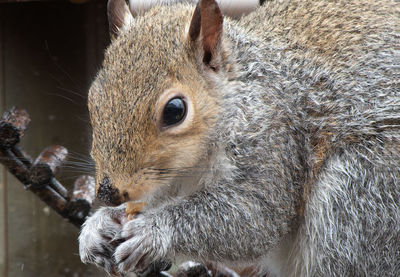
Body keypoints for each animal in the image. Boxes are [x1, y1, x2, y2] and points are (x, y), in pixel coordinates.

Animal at [78, 0, 400, 274]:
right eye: (93, 98)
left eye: (175, 110)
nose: (107, 192)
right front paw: (100, 225)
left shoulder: (274, 140)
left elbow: (254, 216)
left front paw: (154, 231)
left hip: (360, 195)